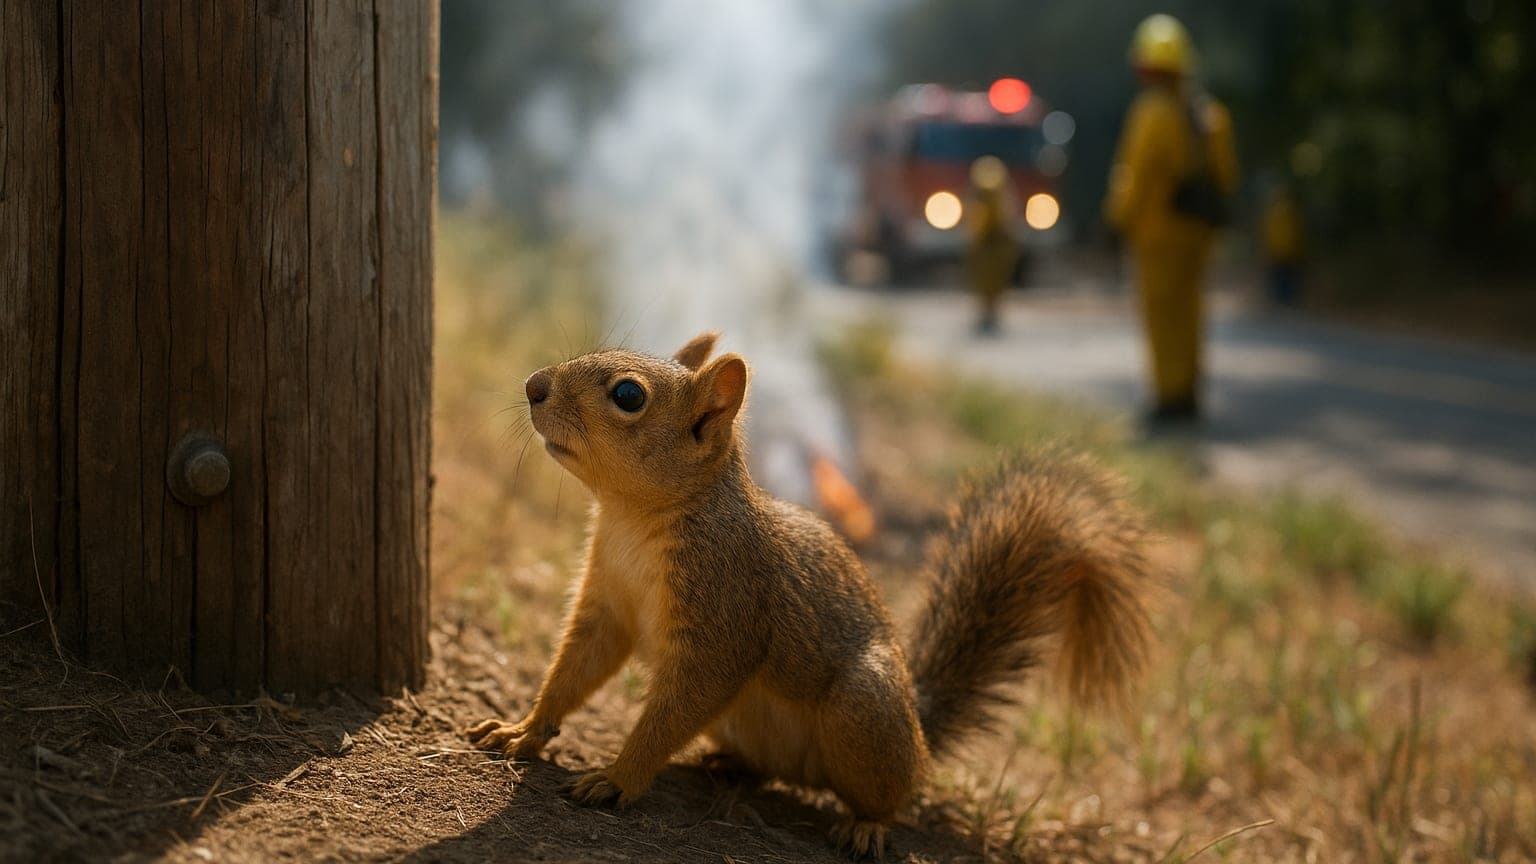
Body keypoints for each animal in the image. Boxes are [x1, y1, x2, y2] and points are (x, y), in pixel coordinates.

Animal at [466, 332, 1154, 858]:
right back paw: (730, 765)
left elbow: (679, 703)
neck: (635, 519)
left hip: (864, 708)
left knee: (895, 793)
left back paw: (867, 824)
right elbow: (576, 667)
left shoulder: (727, 607)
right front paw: (524, 729)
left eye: (628, 396)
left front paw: (616, 777)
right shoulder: (607, 599)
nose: (532, 385)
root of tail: (918, 728)